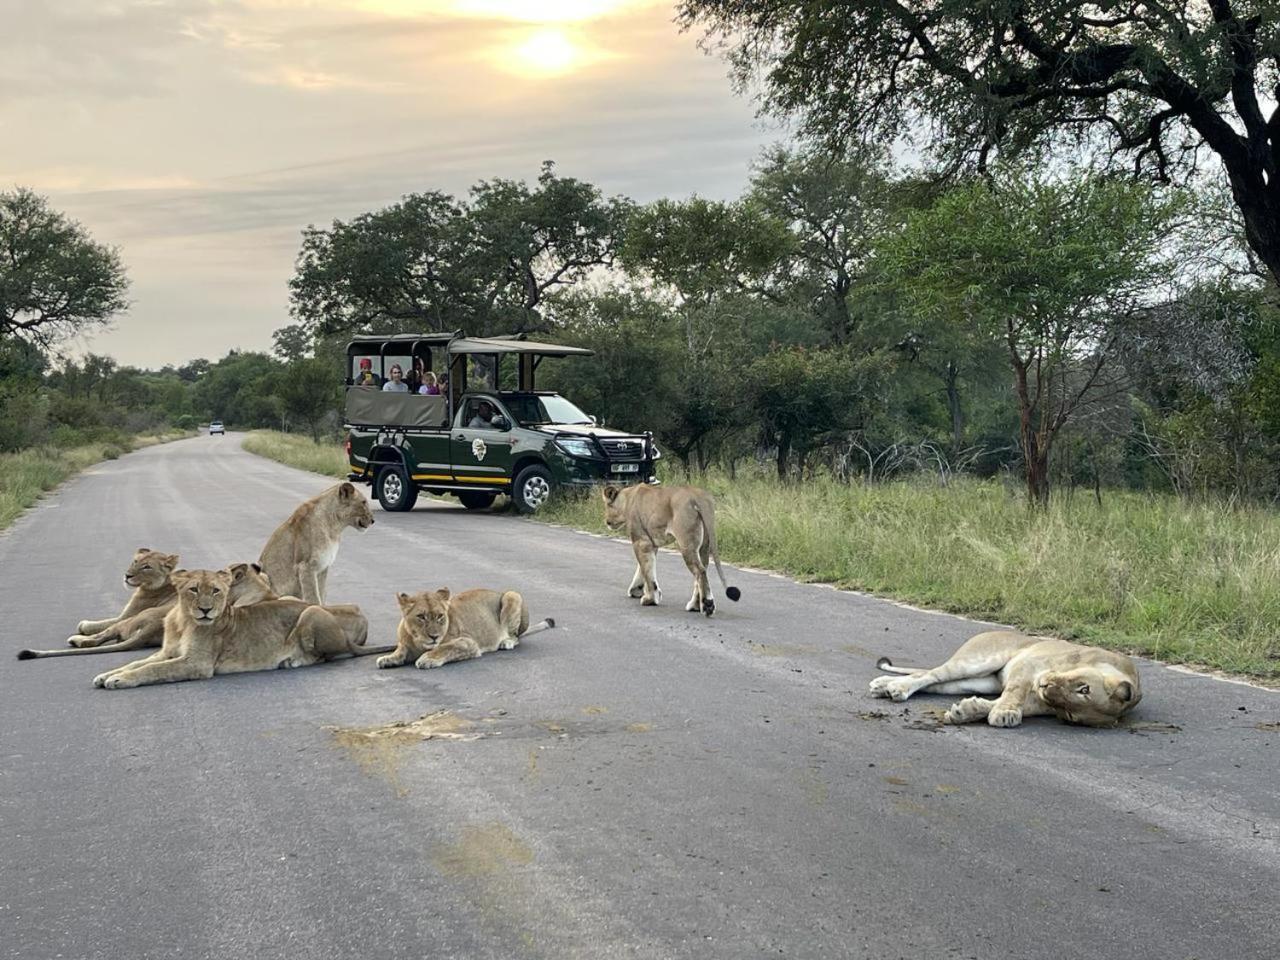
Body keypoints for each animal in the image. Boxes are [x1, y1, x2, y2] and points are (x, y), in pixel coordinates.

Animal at [91, 563, 384, 691]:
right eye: (193, 589)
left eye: (216, 591)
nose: (206, 610)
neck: (183, 621)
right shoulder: (166, 652)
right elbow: (137, 663)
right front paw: (107, 675)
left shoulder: (197, 664)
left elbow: (153, 670)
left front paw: (119, 680)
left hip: (311, 611)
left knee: (325, 656)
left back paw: (292, 660)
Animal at [599, 483, 742, 619]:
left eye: (607, 505)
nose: (607, 521)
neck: (628, 499)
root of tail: (698, 495)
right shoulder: (651, 543)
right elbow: (643, 568)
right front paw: (637, 590)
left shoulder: (641, 541)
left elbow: (646, 570)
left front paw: (650, 599)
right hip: (704, 545)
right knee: (703, 570)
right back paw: (695, 606)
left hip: (686, 544)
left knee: (700, 571)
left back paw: (707, 606)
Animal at [870, 632, 1141, 727]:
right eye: (1083, 689)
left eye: (1070, 714)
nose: (1044, 686)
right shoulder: (1028, 665)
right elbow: (1015, 693)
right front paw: (1005, 714)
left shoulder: (1041, 701)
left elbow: (1004, 702)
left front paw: (966, 711)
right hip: (976, 661)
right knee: (931, 673)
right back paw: (894, 688)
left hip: (978, 681)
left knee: (934, 683)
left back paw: (883, 686)